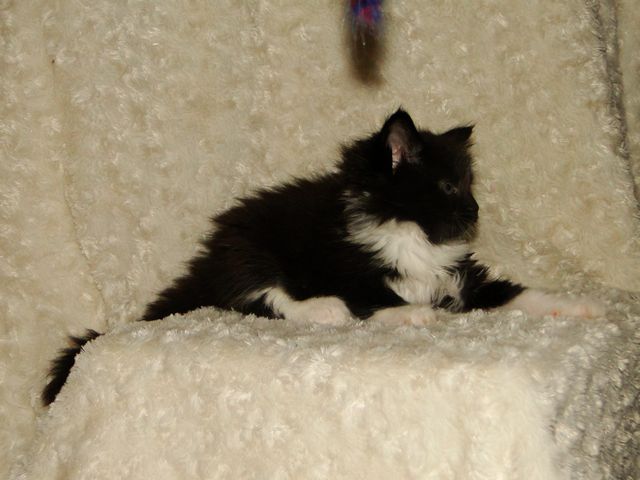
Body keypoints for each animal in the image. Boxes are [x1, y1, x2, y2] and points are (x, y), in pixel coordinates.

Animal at [42, 109, 604, 405]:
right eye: (449, 187)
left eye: (469, 185)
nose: (476, 210)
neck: (408, 232)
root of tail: (205, 259)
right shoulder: (345, 264)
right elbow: (374, 295)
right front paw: (412, 313)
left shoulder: (462, 277)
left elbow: (517, 293)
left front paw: (576, 306)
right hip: (250, 250)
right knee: (258, 297)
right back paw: (323, 309)